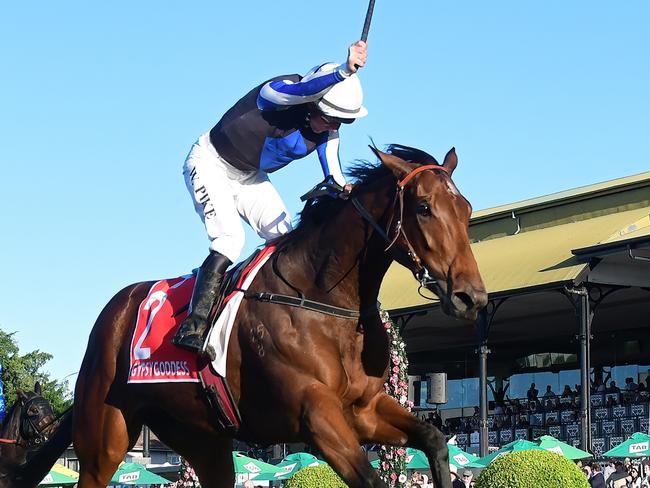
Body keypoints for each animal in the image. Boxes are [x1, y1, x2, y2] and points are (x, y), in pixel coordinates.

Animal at [12, 145, 484, 488]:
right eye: (423, 207)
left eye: (465, 208)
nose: (472, 296)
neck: (321, 300)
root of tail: (113, 312)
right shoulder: (316, 416)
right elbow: (372, 480)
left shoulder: (364, 410)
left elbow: (435, 440)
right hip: (104, 441)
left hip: (202, 440)